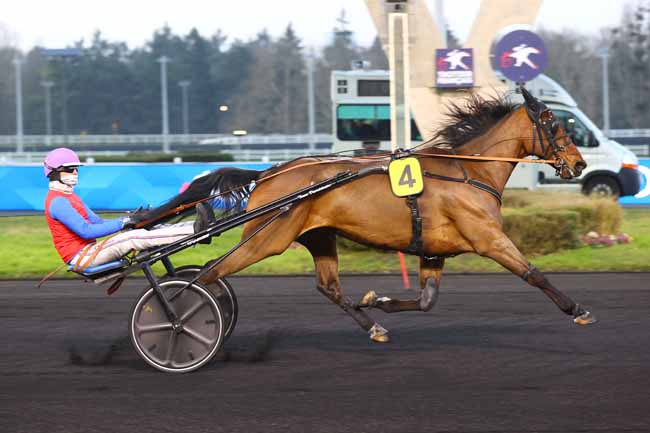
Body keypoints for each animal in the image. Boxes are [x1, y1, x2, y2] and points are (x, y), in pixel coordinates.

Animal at [140, 89, 592, 342]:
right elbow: (533, 273)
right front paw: (577, 309)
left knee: (327, 286)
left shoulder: (434, 250)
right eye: (553, 122)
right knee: (207, 275)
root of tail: (270, 172)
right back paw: (175, 319)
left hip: (318, 235)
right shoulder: (488, 238)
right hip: (267, 239)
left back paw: (372, 326)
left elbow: (426, 300)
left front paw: (380, 301)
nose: (579, 163)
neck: (469, 172)